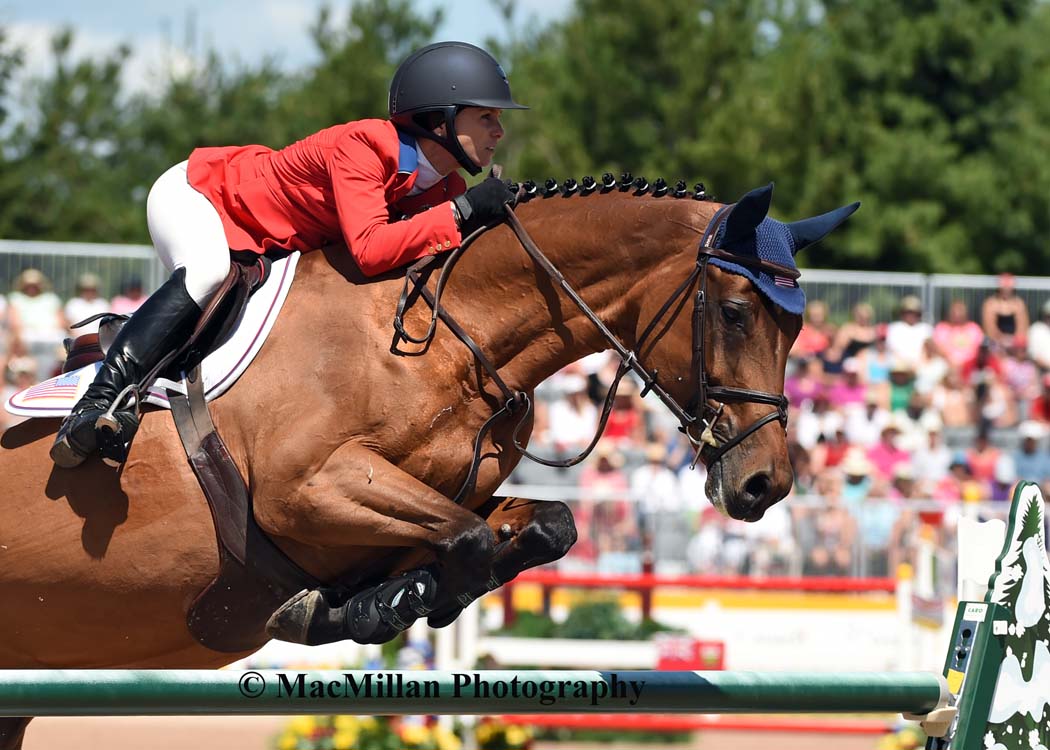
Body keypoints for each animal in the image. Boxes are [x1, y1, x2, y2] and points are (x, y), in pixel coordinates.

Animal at [0, 179, 852, 743]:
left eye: (796, 330)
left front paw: (384, 600)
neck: (449, 337)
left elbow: (544, 527)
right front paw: (374, 606)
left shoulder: (438, 496)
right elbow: (465, 540)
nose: (765, 484)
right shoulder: (306, 489)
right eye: (736, 313)